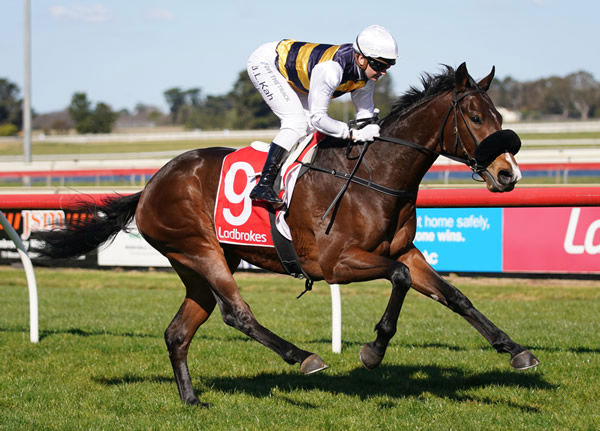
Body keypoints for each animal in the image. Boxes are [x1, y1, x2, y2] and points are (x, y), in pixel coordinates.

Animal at [41, 63, 540, 404]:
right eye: (475, 117)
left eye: (498, 115)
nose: (507, 174)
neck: (374, 177)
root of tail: (149, 185)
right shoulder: (337, 263)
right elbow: (397, 279)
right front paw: (373, 350)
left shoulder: (406, 251)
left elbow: (454, 295)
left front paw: (515, 349)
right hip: (200, 250)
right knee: (236, 314)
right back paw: (303, 357)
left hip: (197, 264)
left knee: (178, 332)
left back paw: (192, 399)